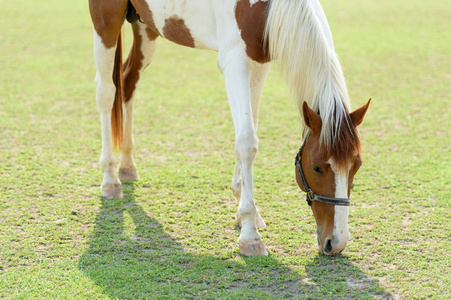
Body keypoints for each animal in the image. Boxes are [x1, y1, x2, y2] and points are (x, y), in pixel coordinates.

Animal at [88, 0, 370, 258]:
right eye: (316, 168)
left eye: (356, 166)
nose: (336, 242)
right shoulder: (234, 62)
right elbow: (247, 142)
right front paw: (250, 234)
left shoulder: (259, 62)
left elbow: (249, 128)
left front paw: (245, 209)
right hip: (106, 22)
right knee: (106, 93)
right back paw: (110, 178)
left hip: (146, 28)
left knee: (128, 81)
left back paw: (126, 166)